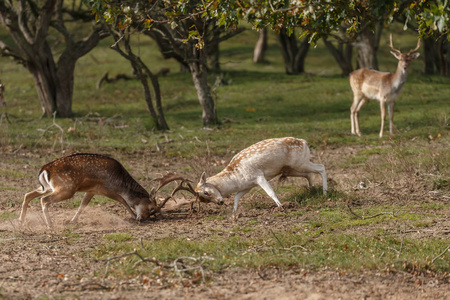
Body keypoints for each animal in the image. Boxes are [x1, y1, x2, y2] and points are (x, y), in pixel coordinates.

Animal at [193, 137, 326, 217]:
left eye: (206, 192)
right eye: (204, 199)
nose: (220, 202)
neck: (236, 179)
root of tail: (304, 142)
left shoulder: (259, 176)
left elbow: (271, 192)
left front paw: (281, 207)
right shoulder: (248, 186)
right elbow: (236, 197)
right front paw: (234, 214)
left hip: (300, 163)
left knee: (322, 167)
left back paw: (325, 193)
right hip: (292, 169)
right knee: (309, 173)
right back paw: (312, 189)